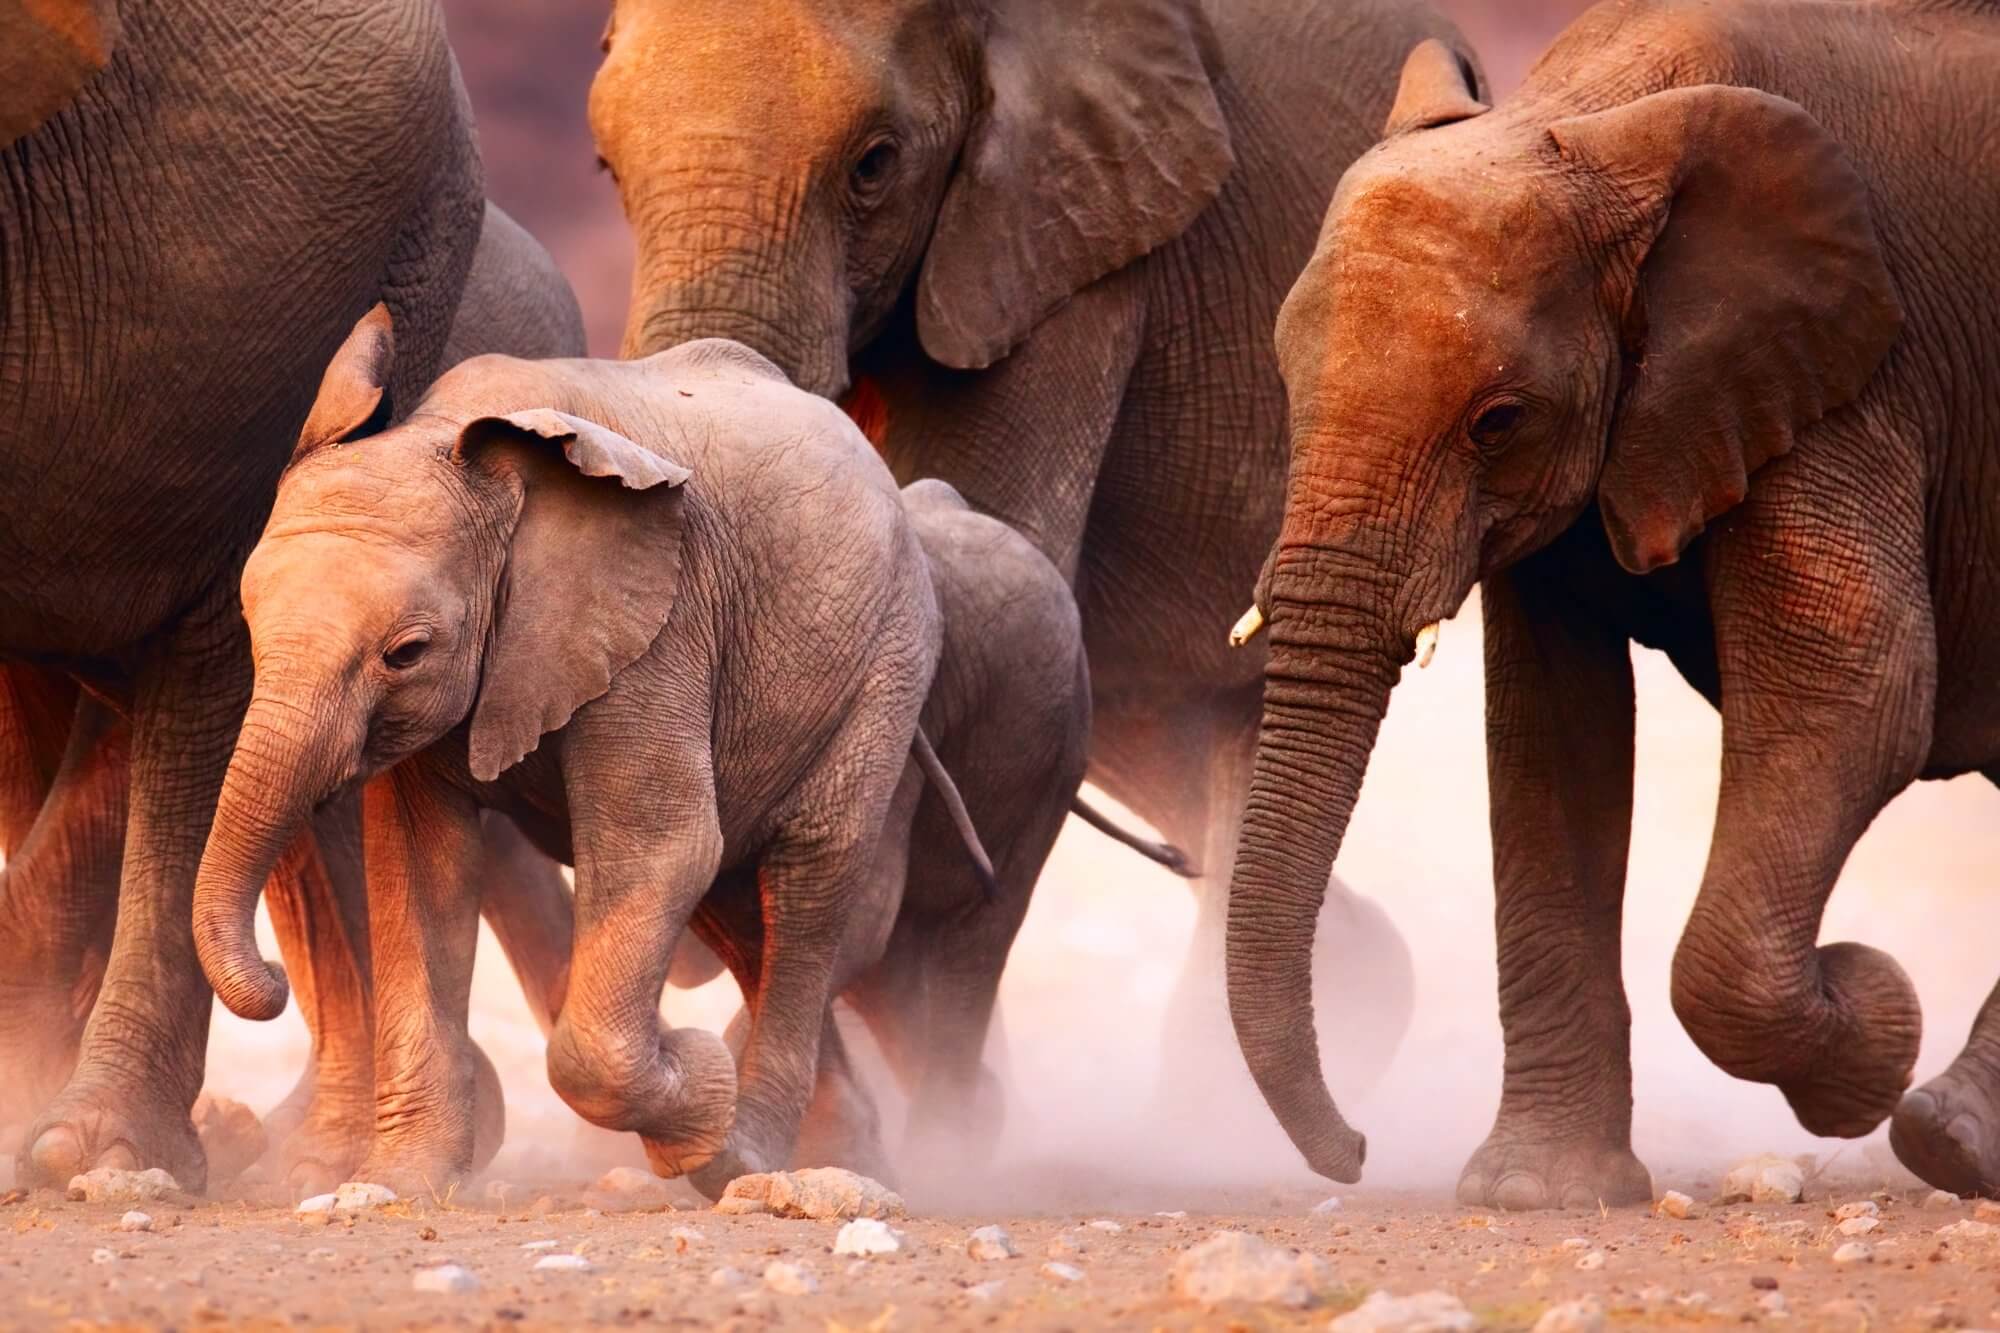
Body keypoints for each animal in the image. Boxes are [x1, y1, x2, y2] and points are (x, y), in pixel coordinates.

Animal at [190, 330, 991, 1194]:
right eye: (249, 623)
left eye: (406, 653)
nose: (272, 980)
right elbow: (420, 867)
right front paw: (398, 1184)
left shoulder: (660, 627)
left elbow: (660, 849)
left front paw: (699, 1086)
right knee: (739, 910)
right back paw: (825, 1152)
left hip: (886, 667)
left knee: (808, 881)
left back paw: (745, 1154)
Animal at [1224, 0, 2000, 1206]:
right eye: (1283, 382)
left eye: (1496, 421)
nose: (1353, 1153)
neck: (1598, 118)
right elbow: (1551, 736)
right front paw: (1537, 1195)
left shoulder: (1852, 373)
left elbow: (1856, 690)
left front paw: (1871, 1025)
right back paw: (1957, 1137)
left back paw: (1943, 1137)